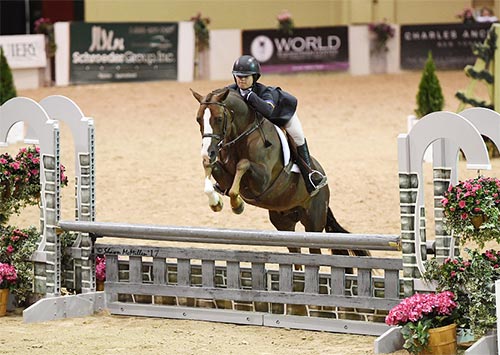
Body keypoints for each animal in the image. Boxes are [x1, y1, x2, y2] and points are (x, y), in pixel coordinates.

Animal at [190, 87, 368, 258]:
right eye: (198, 119)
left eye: (219, 119)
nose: (208, 153)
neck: (243, 132)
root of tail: (325, 187)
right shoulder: (226, 176)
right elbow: (210, 169)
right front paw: (216, 202)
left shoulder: (262, 180)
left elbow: (243, 164)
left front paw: (237, 204)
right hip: (283, 222)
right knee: (295, 251)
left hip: (314, 222)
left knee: (315, 250)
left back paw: (314, 180)